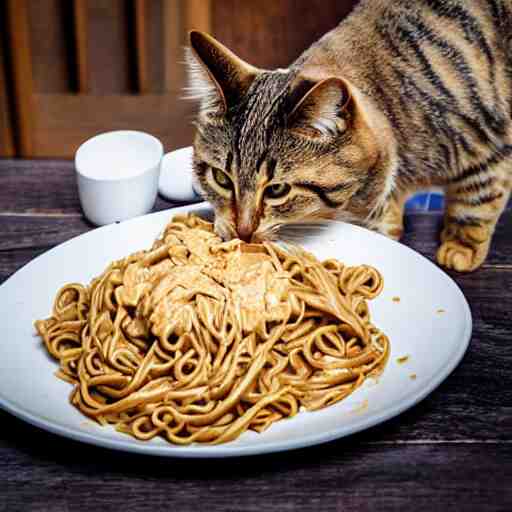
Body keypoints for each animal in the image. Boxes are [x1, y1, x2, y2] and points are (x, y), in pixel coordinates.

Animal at [187, 0, 512, 272]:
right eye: (221, 179)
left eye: (277, 190)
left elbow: (477, 202)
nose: (242, 233)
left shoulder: (490, 146)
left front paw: (461, 247)